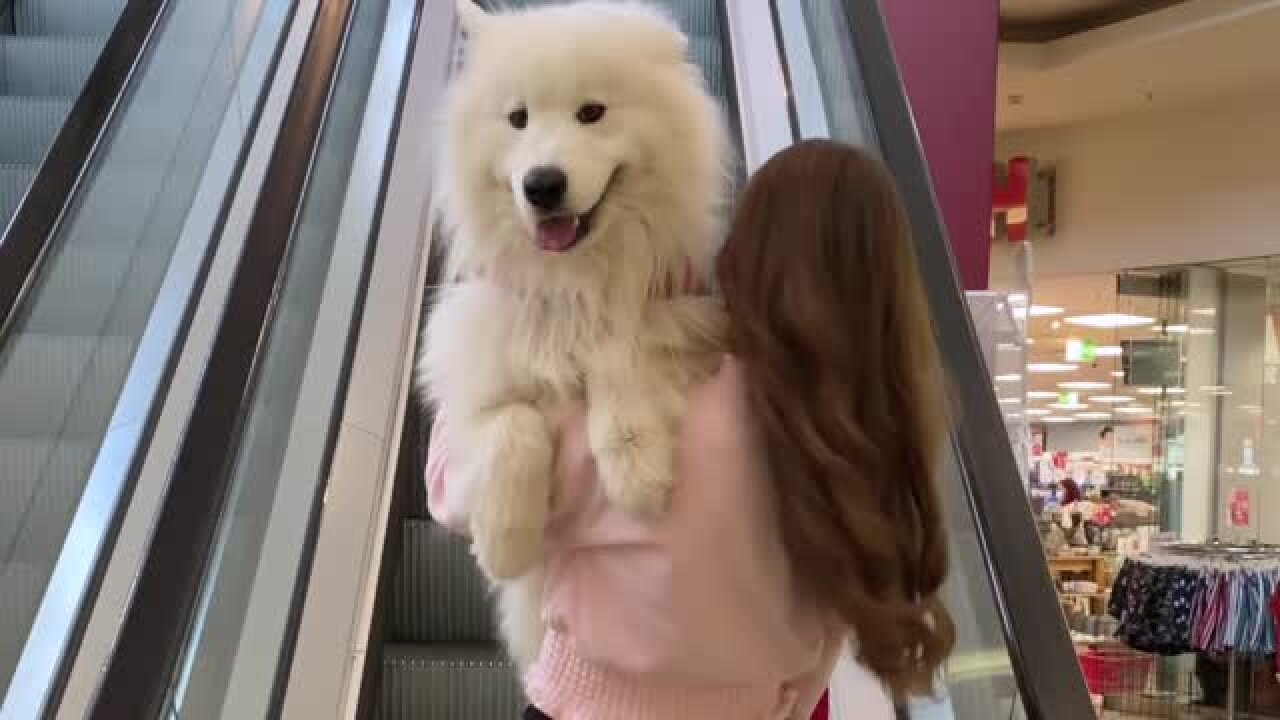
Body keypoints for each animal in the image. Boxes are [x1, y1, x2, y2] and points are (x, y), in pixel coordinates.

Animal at [422, 0, 732, 666]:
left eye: (593, 112)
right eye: (517, 118)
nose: (542, 185)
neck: (573, 282)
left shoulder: (682, 310)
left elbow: (623, 355)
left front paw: (637, 472)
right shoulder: (471, 382)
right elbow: (512, 424)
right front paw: (504, 540)